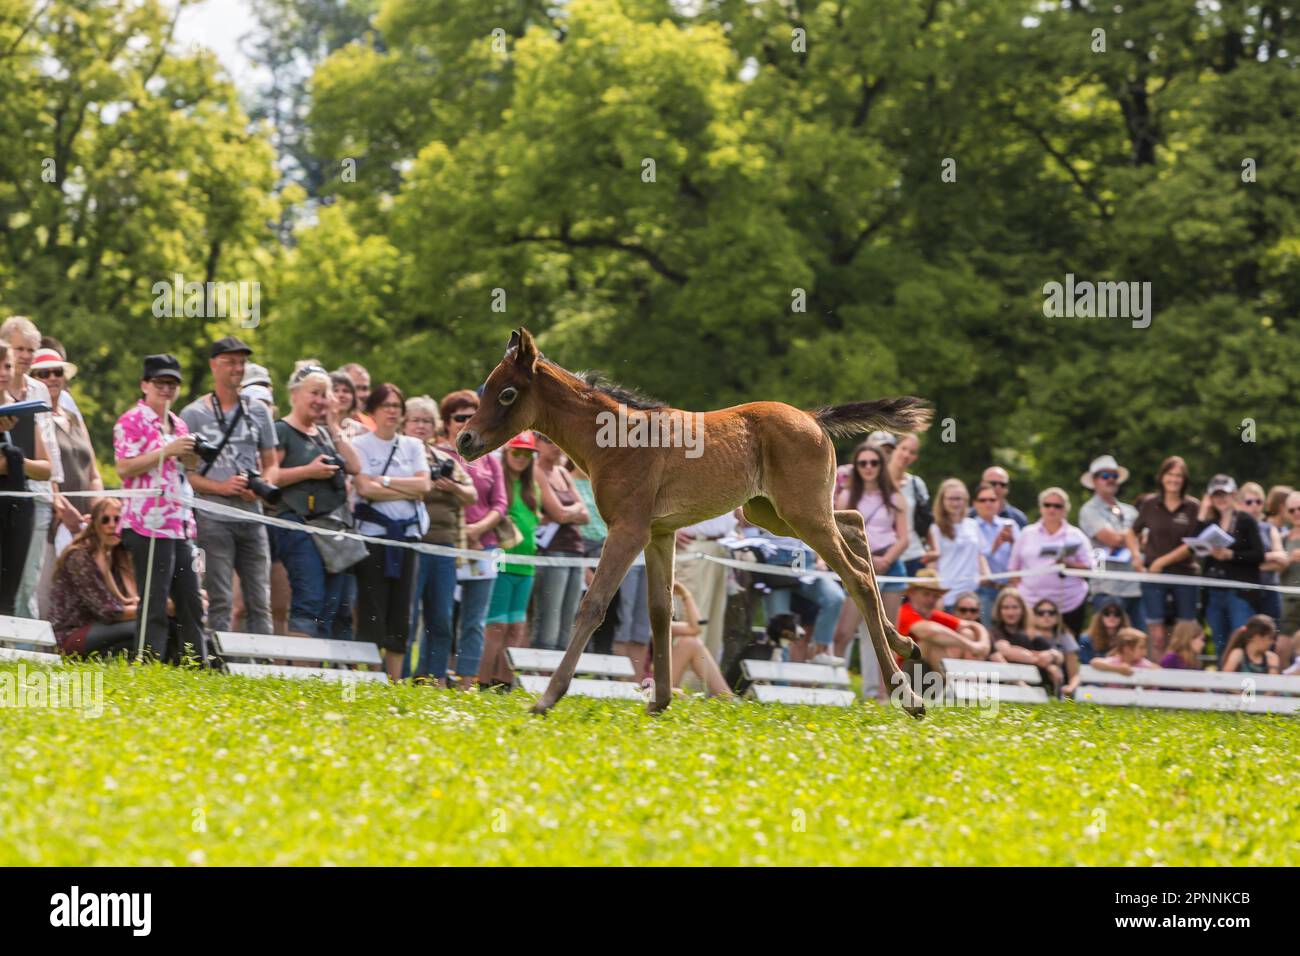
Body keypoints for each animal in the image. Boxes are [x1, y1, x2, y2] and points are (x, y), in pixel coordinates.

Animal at [456, 328, 935, 717]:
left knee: (857, 576)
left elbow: (593, 605)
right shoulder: (660, 533)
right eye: (485, 389)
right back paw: (904, 643)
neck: (611, 441)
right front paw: (660, 701)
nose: (464, 440)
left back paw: (908, 696)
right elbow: (660, 609)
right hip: (775, 513)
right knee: (855, 525)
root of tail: (813, 418)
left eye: (506, 394)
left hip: (802, 515)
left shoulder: (628, 529)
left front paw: (547, 698)